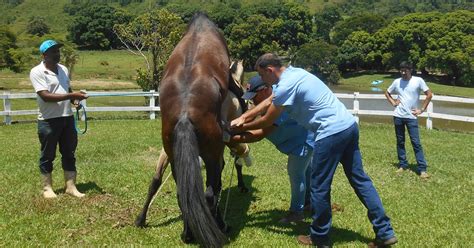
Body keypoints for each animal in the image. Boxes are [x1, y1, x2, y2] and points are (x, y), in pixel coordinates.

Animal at [134, 13, 234, 246]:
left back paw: (187, 233)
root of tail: (185, 115)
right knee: (210, 193)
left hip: (173, 155)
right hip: (211, 155)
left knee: (184, 194)